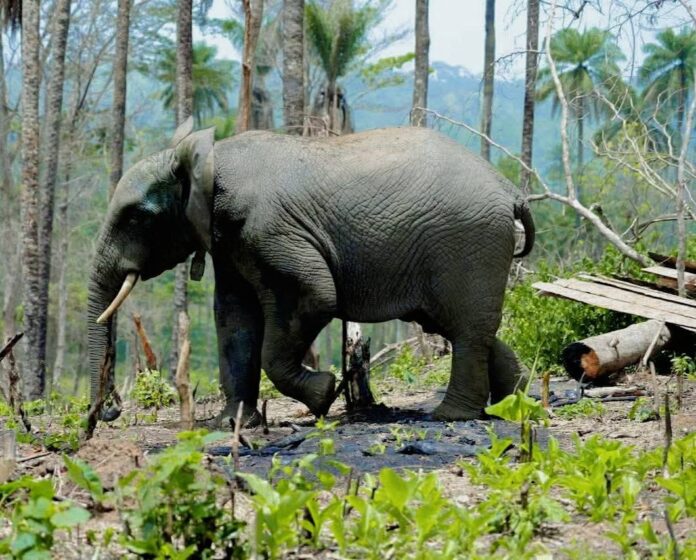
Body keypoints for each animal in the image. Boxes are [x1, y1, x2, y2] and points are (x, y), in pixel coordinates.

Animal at [87, 119, 534, 426]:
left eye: (137, 218)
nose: (111, 411)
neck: (208, 158)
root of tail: (510, 190)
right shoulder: (231, 242)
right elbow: (233, 317)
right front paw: (232, 425)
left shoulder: (270, 230)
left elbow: (315, 295)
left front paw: (324, 395)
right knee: (458, 326)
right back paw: (512, 403)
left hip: (468, 243)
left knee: (465, 329)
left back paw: (449, 416)